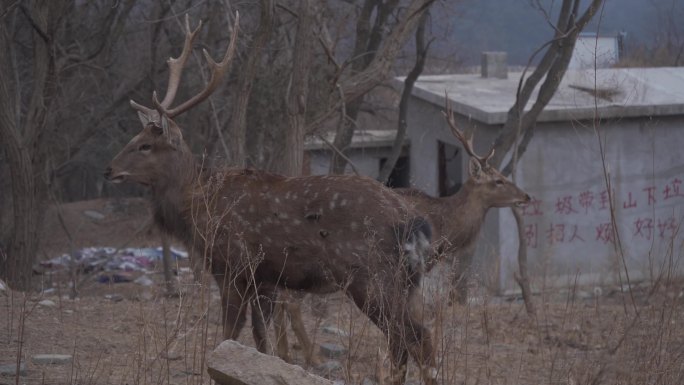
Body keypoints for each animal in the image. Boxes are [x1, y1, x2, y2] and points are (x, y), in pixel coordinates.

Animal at [105, 15, 438, 384]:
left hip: (373, 277)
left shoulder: (233, 266)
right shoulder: (265, 280)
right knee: (404, 340)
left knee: (416, 337)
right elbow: (260, 341)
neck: (199, 205)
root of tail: (414, 223)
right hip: (406, 282)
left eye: (145, 145)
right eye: (136, 137)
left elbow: (228, 336)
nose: (109, 169)